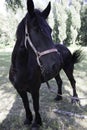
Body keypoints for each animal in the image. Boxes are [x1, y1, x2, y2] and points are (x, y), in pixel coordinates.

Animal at [9, 0, 61, 128]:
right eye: (36, 29)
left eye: (50, 30)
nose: (56, 64)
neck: (21, 69)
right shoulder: (19, 90)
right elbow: (26, 104)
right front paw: (28, 119)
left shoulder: (35, 89)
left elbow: (36, 106)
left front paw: (37, 123)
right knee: (59, 82)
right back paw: (58, 97)